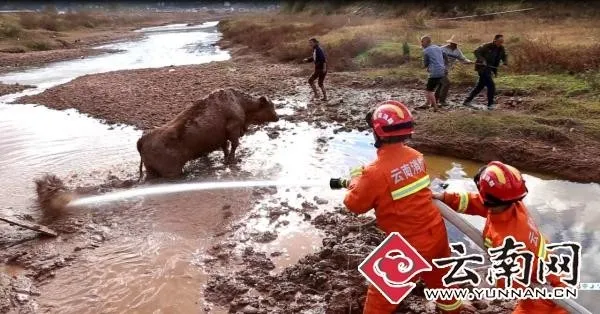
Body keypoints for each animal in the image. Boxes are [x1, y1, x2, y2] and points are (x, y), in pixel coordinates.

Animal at [137, 88, 278, 178]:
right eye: (271, 106)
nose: (277, 117)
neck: (239, 102)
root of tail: (143, 138)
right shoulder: (233, 129)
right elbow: (234, 145)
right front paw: (232, 160)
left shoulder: (223, 136)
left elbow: (225, 147)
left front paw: (226, 158)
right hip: (171, 172)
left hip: (151, 171)